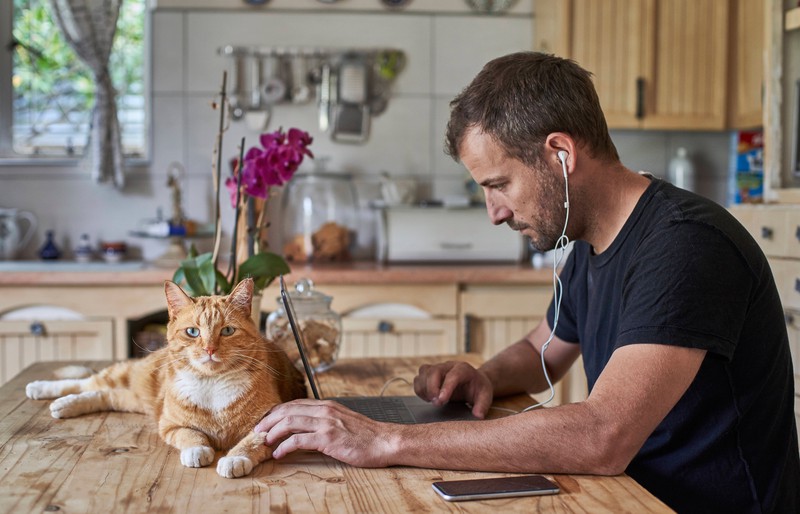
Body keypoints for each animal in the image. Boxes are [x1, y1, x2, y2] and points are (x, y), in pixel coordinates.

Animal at [25, 276, 306, 476]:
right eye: (192, 332)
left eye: (227, 331)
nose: (209, 349)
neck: (212, 385)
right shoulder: (169, 424)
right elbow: (190, 435)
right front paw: (197, 450)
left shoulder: (271, 424)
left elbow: (250, 443)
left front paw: (235, 458)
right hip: (130, 378)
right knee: (90, 382)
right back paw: (42, 390)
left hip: (133, 400)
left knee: (104, 394)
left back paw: (64, 405)